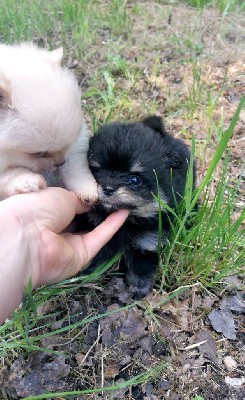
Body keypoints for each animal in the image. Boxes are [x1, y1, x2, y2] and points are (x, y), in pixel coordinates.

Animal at [0, 43, 97, 203]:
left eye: (67, 145)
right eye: (39, 153)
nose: (60, 162)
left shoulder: (75, 144)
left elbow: (74, 164)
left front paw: (87, 189)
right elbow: (10, 175)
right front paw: (27, 181)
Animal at [82, 117, 195, 298]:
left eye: (135, 180)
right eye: (96, 171)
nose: (108, 188)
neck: (129, 221)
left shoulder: (148, 241)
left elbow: (142, 266)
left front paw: (139, 287)